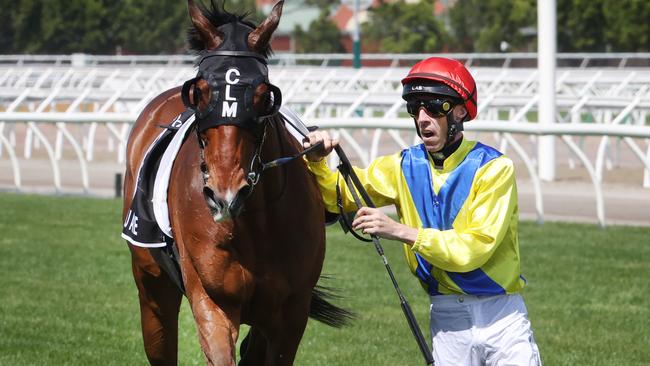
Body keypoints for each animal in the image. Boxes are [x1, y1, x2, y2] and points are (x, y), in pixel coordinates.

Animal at [123, 1, 350, 364]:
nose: (224, 195)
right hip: (151, 285)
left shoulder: (290, 313)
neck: (257, 224)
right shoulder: (213, 301)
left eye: (263, 95)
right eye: (200, 92)